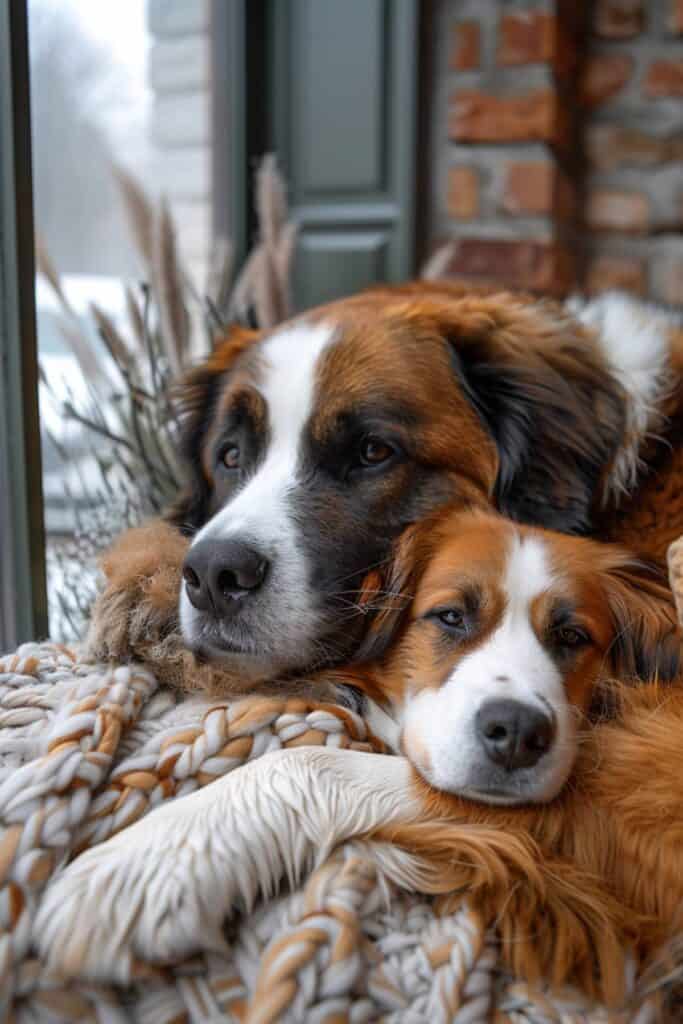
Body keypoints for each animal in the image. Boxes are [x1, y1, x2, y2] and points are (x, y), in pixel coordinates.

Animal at [36, 507, 683, 1003]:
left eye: (572, 637)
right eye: (451, 616)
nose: (518, 732)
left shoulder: (617, 811)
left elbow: (309, 763)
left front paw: (146, 862)